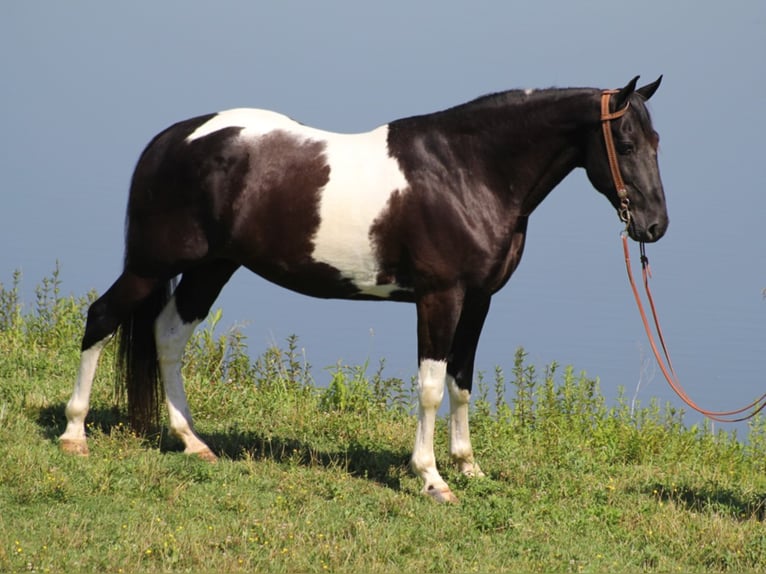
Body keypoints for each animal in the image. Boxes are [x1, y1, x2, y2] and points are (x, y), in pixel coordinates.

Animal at [60, 75, 668, 504]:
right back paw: (74, 435)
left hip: (212, 267)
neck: (468, 171)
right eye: (625, 141)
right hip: (153, 264)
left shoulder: (478, 300)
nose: (655, 226)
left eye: (656, 140)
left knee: (168, 335)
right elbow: (430, 387)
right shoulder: (440, 297)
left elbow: (462, 383)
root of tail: (170, 140)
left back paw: (193, 442)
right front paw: (432, 479)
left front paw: (469, 467)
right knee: (101, 317)